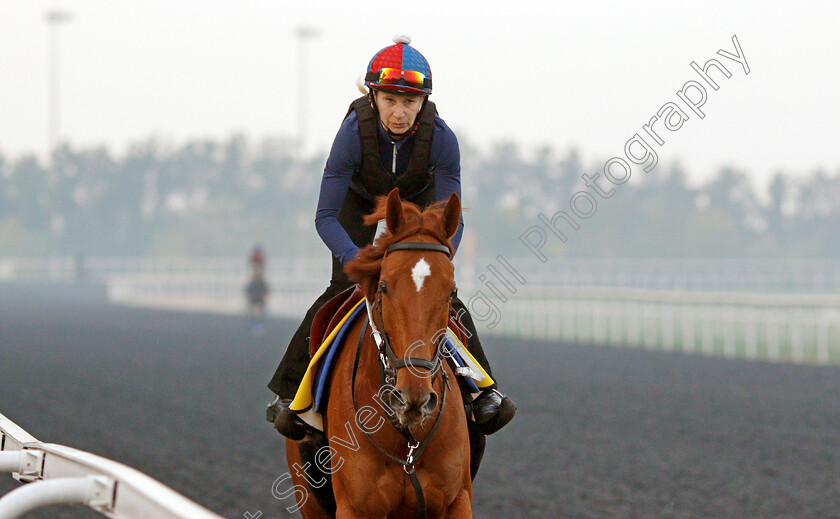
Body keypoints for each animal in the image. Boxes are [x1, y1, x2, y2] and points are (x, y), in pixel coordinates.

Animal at [286, 191, 472, 519]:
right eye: (384, 286)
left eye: (451, 292)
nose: (414, 397)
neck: (407, 443)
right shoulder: (355, 508)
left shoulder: (458, 501)